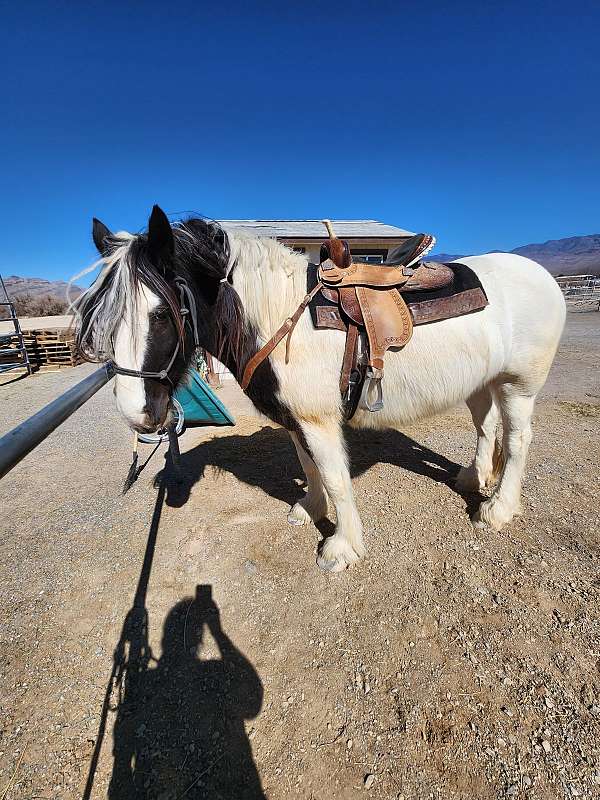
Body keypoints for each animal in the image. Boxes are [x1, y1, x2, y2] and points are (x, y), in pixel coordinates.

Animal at [72, 205, 564, 568]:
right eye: (102, 318)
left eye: (160, 314)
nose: (138, 414)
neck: (277, 316)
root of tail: (542, 275)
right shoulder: (296, 421)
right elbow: (309, 469)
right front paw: (310, 509)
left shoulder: (319, 421)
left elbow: (335, 477)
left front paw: (342, 547)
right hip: (481, 382)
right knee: (486, 428)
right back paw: (472, 478)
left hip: (518, 385)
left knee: (517, 441)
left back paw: (497, 509)